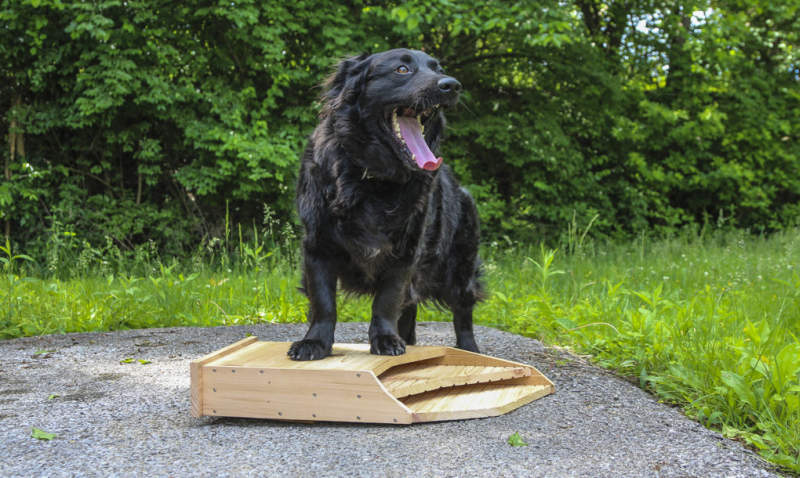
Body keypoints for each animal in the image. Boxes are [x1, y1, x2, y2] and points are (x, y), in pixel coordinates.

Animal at [290, 49, 484, 362]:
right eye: (401, 69)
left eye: (438, 69)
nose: (452, 85)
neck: (373, 179)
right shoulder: (317, 246)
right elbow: (323, 303)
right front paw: (314, 342)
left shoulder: (405, 254)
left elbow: (386, 301)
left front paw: (384, 339)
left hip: (460, 268)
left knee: (463, 313)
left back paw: (469, 351)